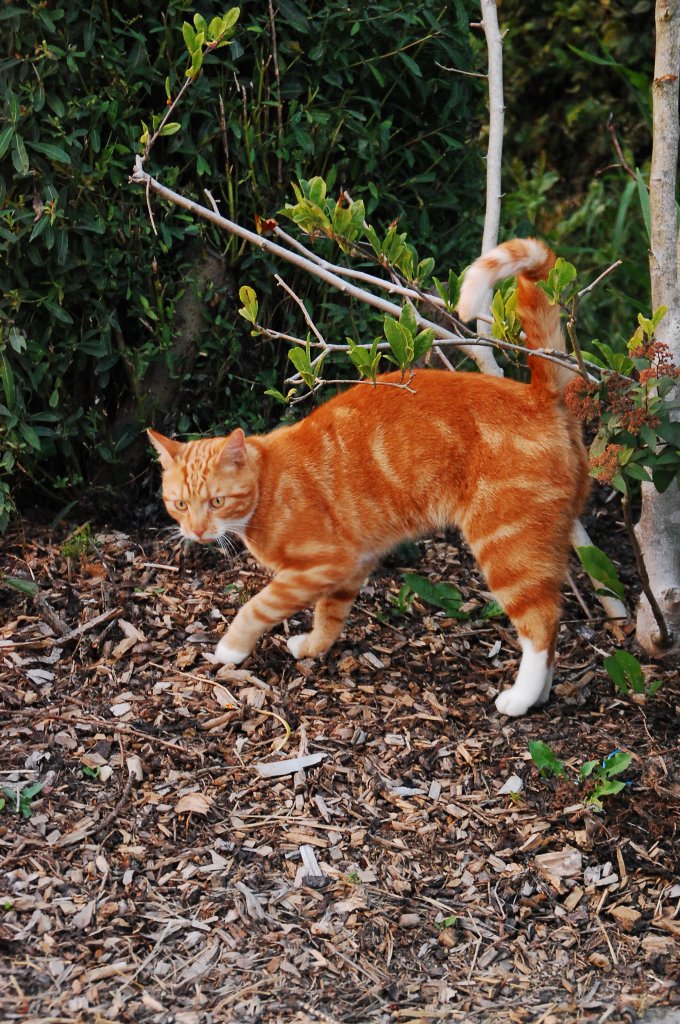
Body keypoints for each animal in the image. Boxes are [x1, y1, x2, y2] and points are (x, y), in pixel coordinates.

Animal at [150, 239, 589, 720]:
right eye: (179, 504)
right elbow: (329, 615)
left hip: (508, 547)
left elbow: (257, 606)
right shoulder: (350, 566)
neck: (266, 486)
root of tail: (537, 395)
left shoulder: (323, 564)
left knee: (541, 622)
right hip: (545, 541)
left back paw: (521, 697)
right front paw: (312, 647)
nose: (196, 532)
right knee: (554, 620)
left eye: (216, 501)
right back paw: (542, 694)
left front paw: (230, 649)